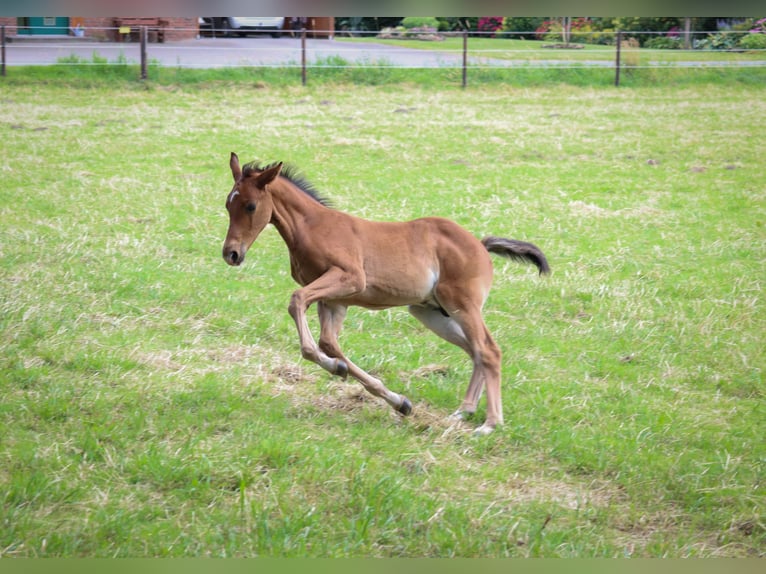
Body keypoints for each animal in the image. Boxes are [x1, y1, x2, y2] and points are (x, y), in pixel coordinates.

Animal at [222, 154, 552, 436]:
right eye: (228, 205)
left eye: (250, 206)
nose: (231, 254)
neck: (312, 226)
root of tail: (481, 245)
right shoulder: (335, 301)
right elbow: (328, 343)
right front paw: (394, 398)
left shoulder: (349, 279)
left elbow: (298, 303)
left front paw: (347, 373)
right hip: (431, 312)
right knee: (475, 351)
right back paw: (464, 411)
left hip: (463, 305)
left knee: (489, 350)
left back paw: (490, 423)